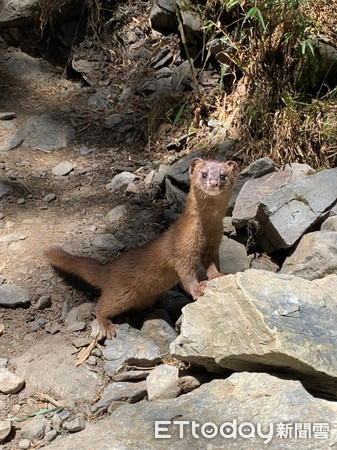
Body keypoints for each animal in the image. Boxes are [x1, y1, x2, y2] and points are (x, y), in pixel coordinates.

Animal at [44, 158, 238, 338]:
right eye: (204, 174)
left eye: (223, 175)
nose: (213, 183)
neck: (206, 230)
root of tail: (109, 269)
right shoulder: (182, 248)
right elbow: (186, 273)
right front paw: (198, 289)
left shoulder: (213, 245)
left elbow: (212, 264)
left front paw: (219, 275)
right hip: (121, 292)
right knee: (101, 306)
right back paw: (108, 326)